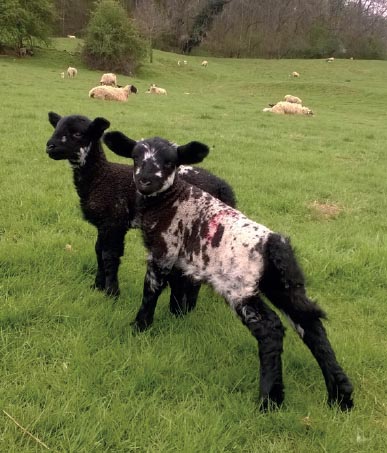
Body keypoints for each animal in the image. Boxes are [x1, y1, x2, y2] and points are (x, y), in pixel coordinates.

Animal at [45, 111, 236, 314]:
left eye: (77, 134)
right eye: (56, 127)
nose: (49, 146)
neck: (100, 177)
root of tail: (223, 187)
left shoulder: (115, 220)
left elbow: (109, 255)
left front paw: (111, 293)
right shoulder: (103, 223)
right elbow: (98, 250)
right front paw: (97, 286)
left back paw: (185, 308)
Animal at [102, 130, 354, 410]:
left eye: (170, 162)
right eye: (135, 157)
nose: (145, 181)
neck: (170, 201)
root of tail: (274, 244)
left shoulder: (164, 250)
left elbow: (151, 290)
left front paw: (139, 326)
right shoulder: (182, 259)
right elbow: (179, 287)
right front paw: (176, 315)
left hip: (240, 286)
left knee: (271, 329)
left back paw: (269, 400)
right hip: (284, 286)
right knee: (311, 327)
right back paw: (340, 396)